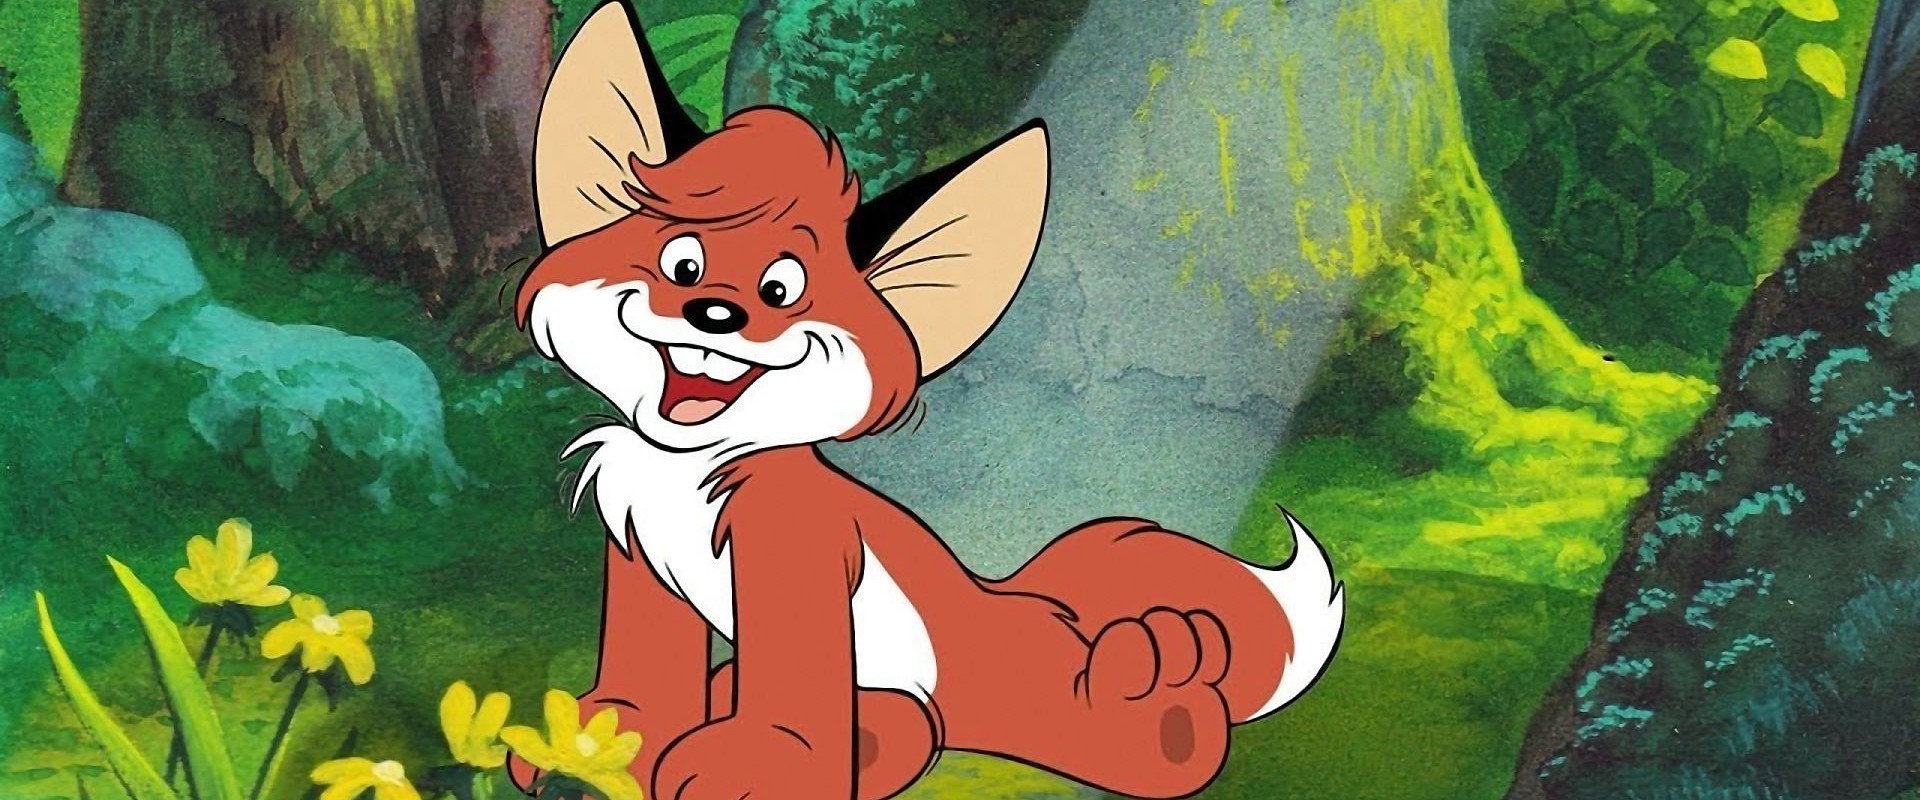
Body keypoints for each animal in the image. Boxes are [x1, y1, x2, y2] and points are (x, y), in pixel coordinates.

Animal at [507, 4, 1345, 800]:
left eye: (781, 288)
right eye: (681, 263)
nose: (714, 312)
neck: (690, 469)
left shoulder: (797, 548)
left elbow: (793, 690)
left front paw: (754, 767)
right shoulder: (633, 541)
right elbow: (646, 670)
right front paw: (597, 742)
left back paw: (1154, 678)